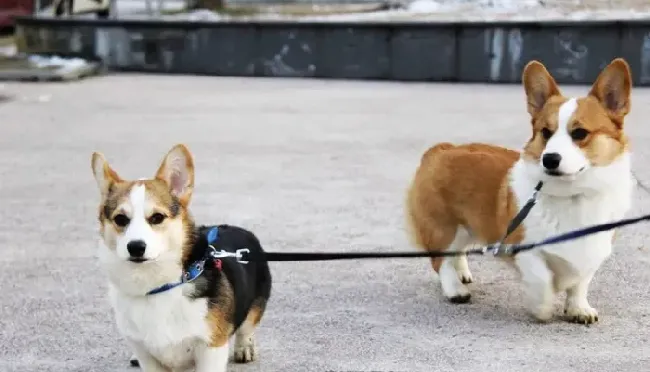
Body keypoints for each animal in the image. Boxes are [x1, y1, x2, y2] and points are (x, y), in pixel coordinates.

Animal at [90, 144, 270, 370]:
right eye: (121, 219)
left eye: (157, 217)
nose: (136, 247)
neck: (158, 286)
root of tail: (235, 228)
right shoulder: (147, 355)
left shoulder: (210, 348)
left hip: (255, 303)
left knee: (247, 326)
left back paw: (245, 347)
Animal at [404, 57, 632, 322]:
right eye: (545, 132)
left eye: (580, 133)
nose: (549, 159)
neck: (573, 194)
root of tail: (441, 149)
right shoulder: (523, 248)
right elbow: (542, 278)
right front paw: (542, 307)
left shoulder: (593, 250)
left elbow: (580, 284)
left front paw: (579, 309)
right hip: (444, 228)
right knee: (440, 260)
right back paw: (454, 289)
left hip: (467, 227)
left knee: (456, 254)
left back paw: (462, 274)